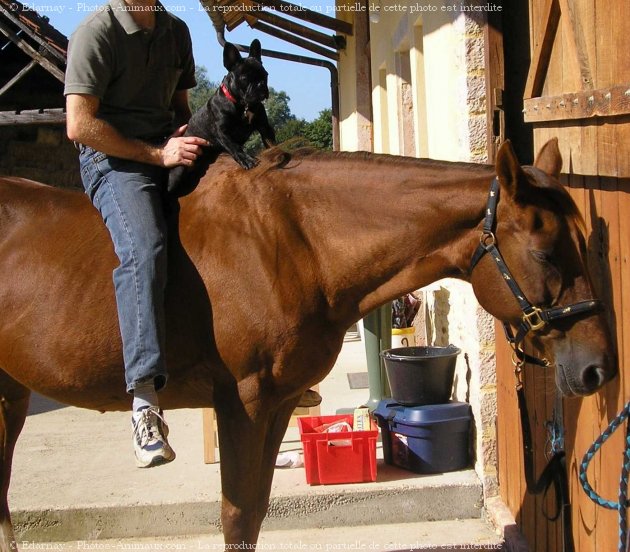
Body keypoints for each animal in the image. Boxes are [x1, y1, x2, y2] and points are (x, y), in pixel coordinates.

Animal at [0, 139, 616, 548]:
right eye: (546, 253)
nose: (597, 368)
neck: (292, 242)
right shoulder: (242, 406)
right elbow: (236, 517)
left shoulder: (276, 407)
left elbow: (255, 514)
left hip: (11, 395)